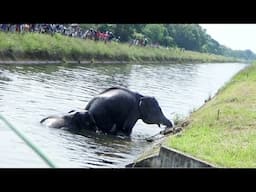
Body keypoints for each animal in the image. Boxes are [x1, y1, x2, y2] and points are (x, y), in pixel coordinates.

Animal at [41, 87, 173, 136]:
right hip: (104, 115)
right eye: (158, 110)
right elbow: (127, 128)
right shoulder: (133, 112)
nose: (169, 127)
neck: (141, 95)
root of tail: (88, 107)